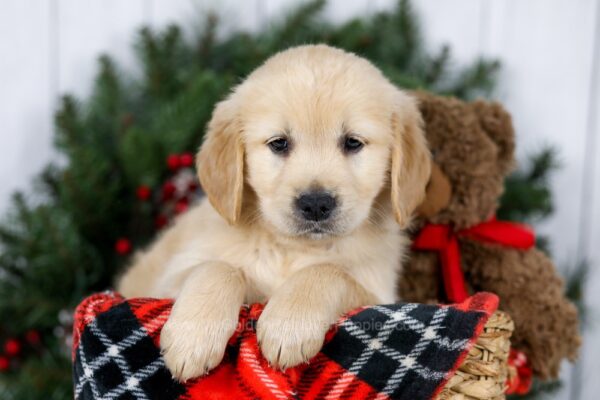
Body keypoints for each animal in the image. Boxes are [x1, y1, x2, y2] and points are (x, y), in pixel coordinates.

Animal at [116, 44, 432, 382]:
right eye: (279, 143)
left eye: (353, 142)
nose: (316, 204)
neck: (292, 248)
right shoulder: (165, 281)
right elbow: (219, 268)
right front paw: (193, 337)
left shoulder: (379, 296)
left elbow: (329, 271)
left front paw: (289, 325)